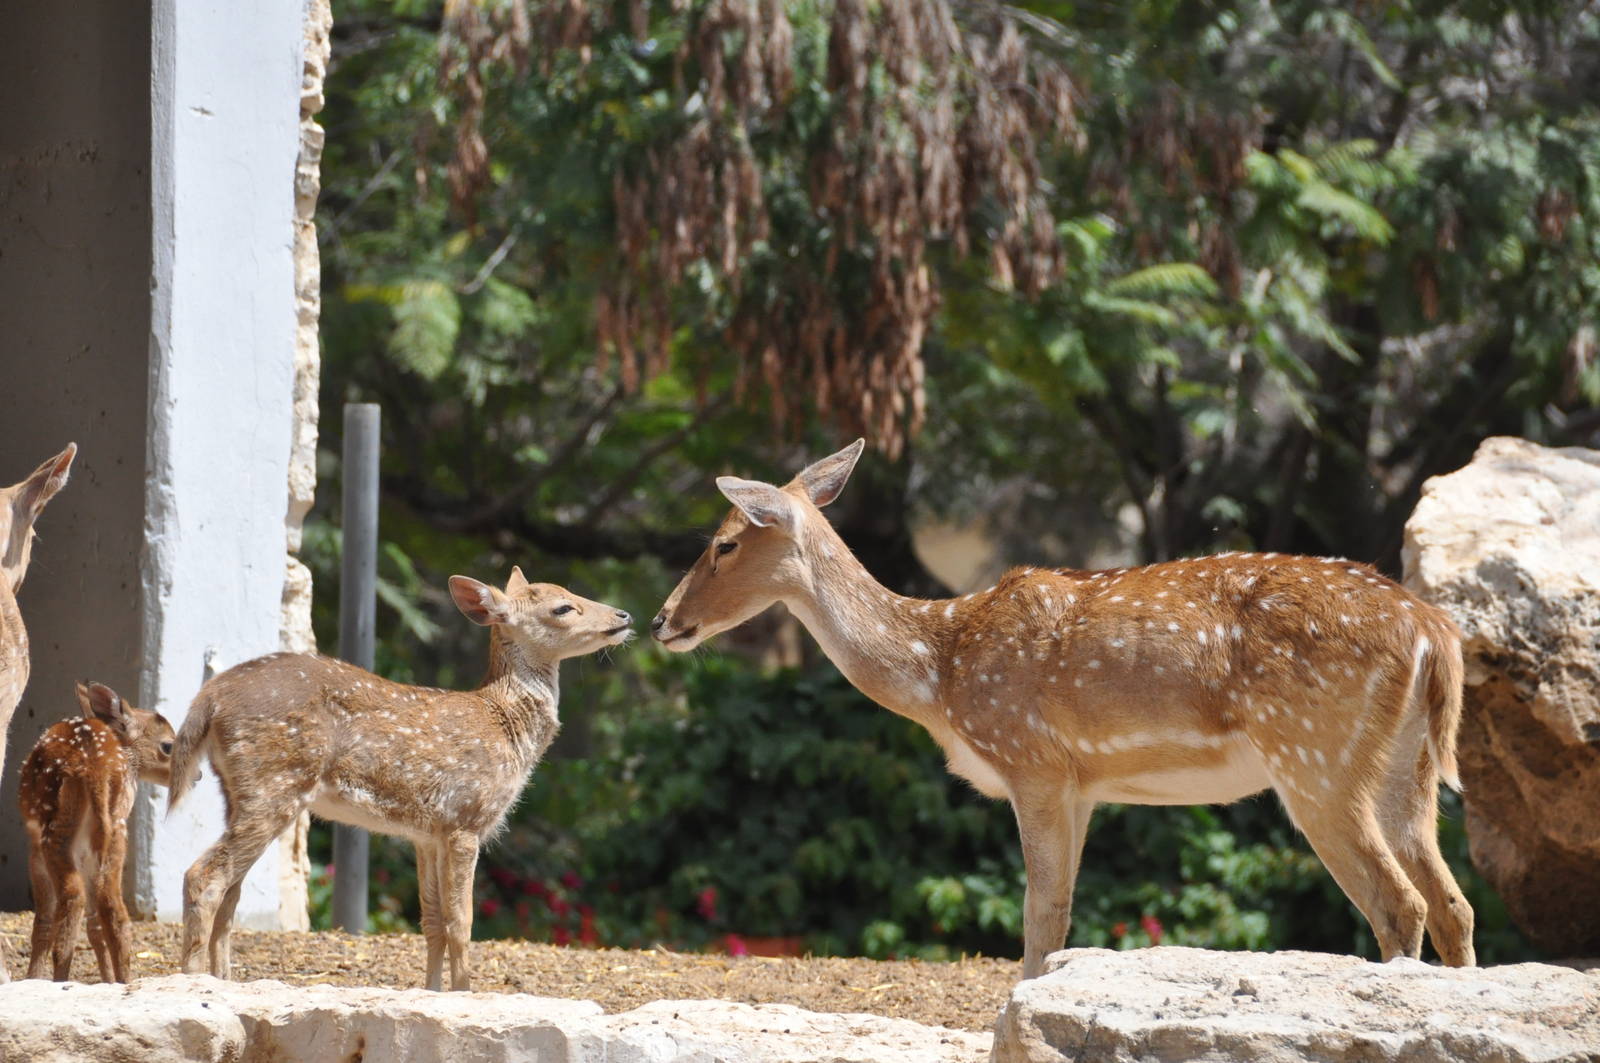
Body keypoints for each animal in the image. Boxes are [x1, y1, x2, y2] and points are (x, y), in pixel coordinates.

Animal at [18, 682, 175, 982]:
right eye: (169, 745)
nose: (197, 774)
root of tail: (94, 768)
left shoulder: (35, 852)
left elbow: (43, 921)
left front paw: (32, 978)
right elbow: (95, 927)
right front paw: (108, 980)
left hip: (55, 835)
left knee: (73, 899)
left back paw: (60, 980)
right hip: (115, 834)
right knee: (113, 910)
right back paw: (123, 981)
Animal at [167, 568, 632, 990]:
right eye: (563, 607)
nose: (624, 615)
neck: (505, 726)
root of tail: (209, 698)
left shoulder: (427, 833)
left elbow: (432, 921)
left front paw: (432, 992)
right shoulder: (466, 818)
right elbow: (461, 921)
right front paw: (465, 993)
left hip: (239, 790)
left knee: (231, 892)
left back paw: (224, 981)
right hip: (275, 782)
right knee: (203, 876)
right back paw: (193, 982)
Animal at [651, 440, 1475, 978]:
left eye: (724, 543)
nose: (661, 619)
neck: (940, 674)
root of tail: (1432, 631)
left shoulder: (1032, 760)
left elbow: (1038, 919)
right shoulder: (1082, 784)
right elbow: (1062, 912)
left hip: (1316, 758)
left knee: (1399, 903)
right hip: (1406, 766)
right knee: (1453, 901)